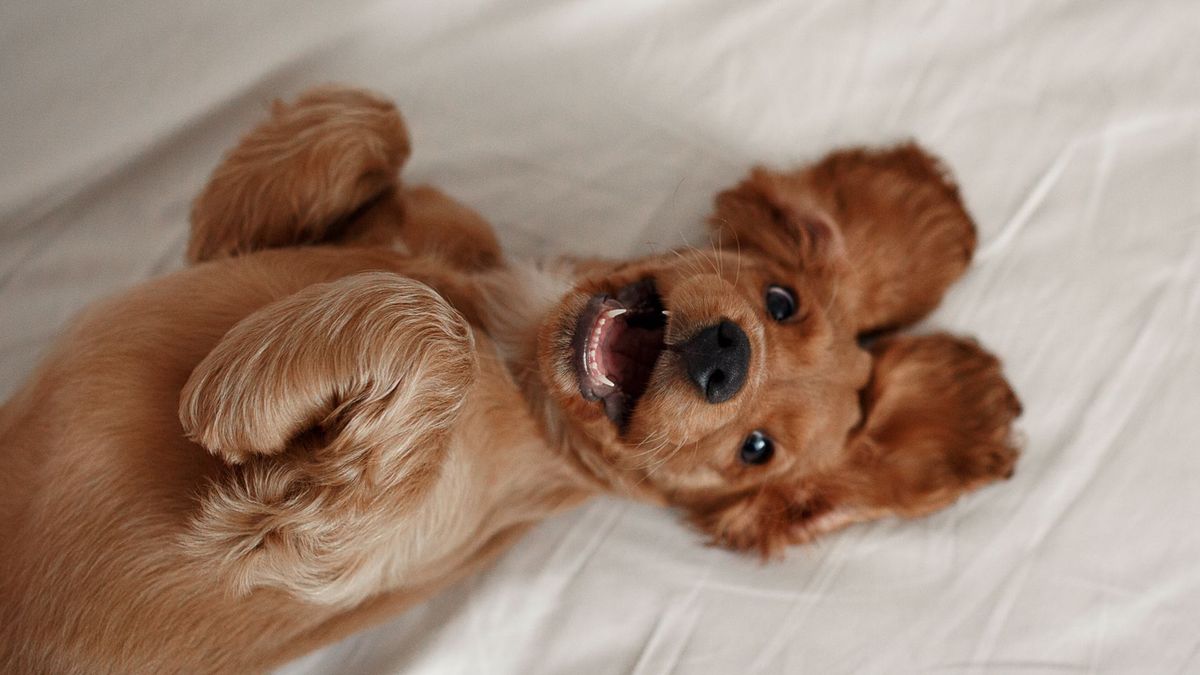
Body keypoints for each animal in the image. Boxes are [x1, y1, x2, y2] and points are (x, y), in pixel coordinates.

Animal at [0, 86, 1022, 667]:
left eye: (757, 449)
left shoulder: (306, 549)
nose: (724, 358)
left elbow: (430, 332)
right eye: (781, 300)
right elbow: (371, 121)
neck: (523, 341)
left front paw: (242, 390)